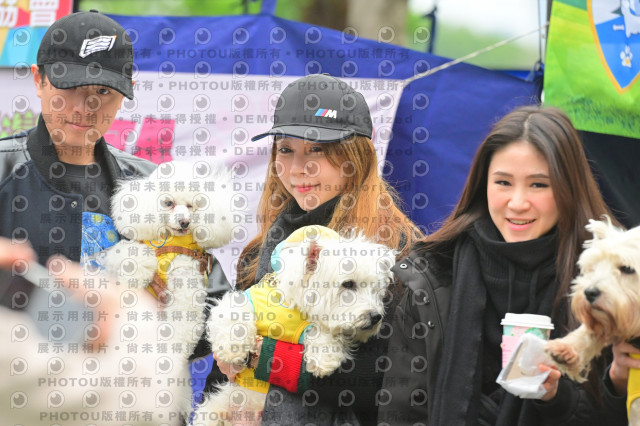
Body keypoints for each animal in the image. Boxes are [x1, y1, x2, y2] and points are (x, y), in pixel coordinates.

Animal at [104, 160, 235, 416]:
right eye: (168, 203)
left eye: (192, 205)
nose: (185, 222)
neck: (171, 242)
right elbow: (125, 253)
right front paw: (137, 271)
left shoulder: (186, 284)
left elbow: (182, 328)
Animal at [195, 225, 397, 425]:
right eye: (348, 284)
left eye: (375, 289)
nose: (376, 317)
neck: (292, 306)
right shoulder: (244, 300)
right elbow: (233, 313)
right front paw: (233, 349)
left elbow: (321, 330)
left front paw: (325, 358)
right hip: (216, 408)